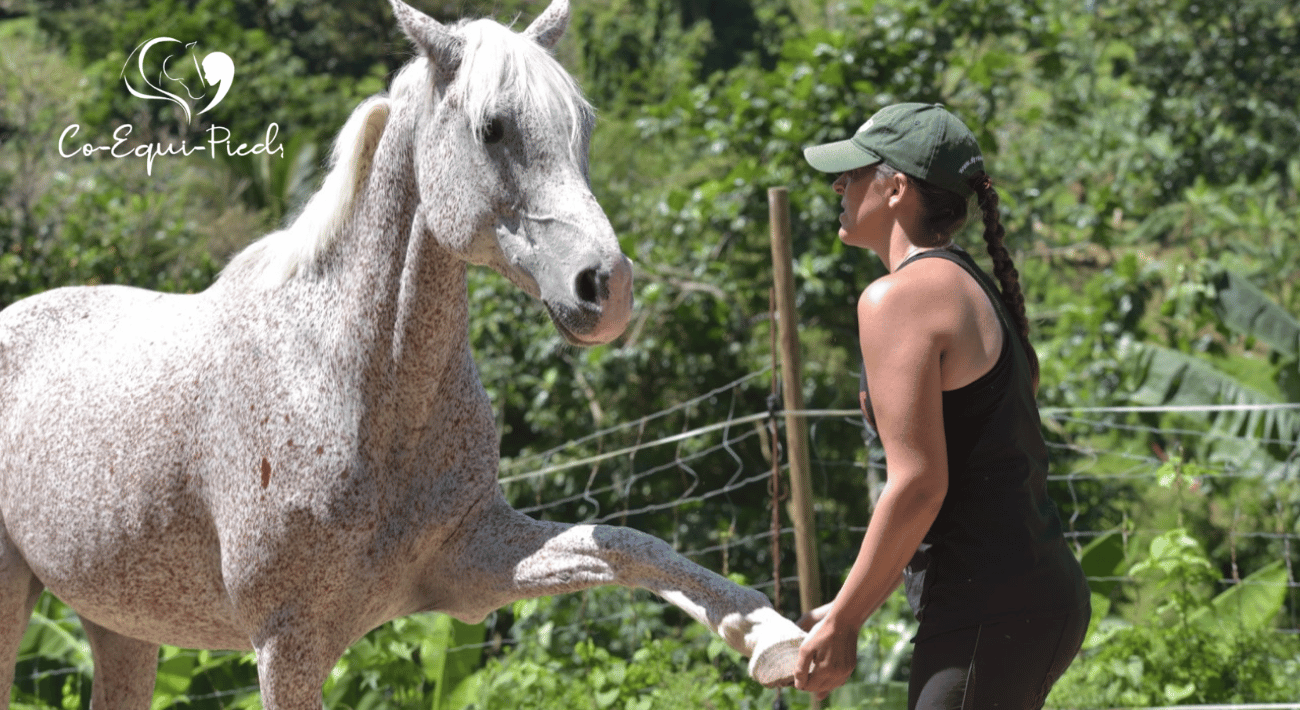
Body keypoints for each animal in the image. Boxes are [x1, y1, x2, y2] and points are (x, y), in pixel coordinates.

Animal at [0, 2, 806, 702]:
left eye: (583, 124)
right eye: (492, 128)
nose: (606, 289)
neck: (355, 386)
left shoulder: (472, 564)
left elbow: (628, 546)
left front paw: (771, 637)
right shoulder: (288, 643)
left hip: (120, 625)